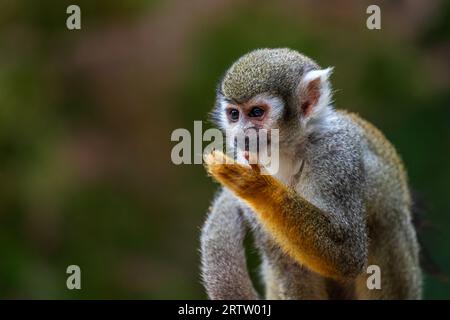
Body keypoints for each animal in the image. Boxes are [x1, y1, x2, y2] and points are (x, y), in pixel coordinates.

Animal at [200, 48, 422, 300]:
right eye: (234, 115)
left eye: (256, 112)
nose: (240, 135)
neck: (286, 149)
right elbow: (291, 268)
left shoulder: (335, 152)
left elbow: (347, 253)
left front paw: (256, 185)